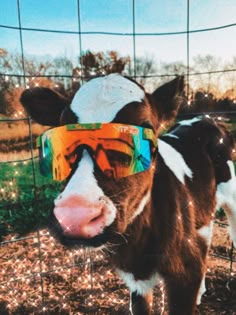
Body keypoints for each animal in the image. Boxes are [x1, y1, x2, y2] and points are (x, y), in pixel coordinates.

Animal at [20, 74, 236, 315]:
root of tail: (207, 118)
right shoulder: (136, 280)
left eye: (144, 132)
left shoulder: (184, 277)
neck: (138, 247)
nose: (76, 216)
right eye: (60, 139)